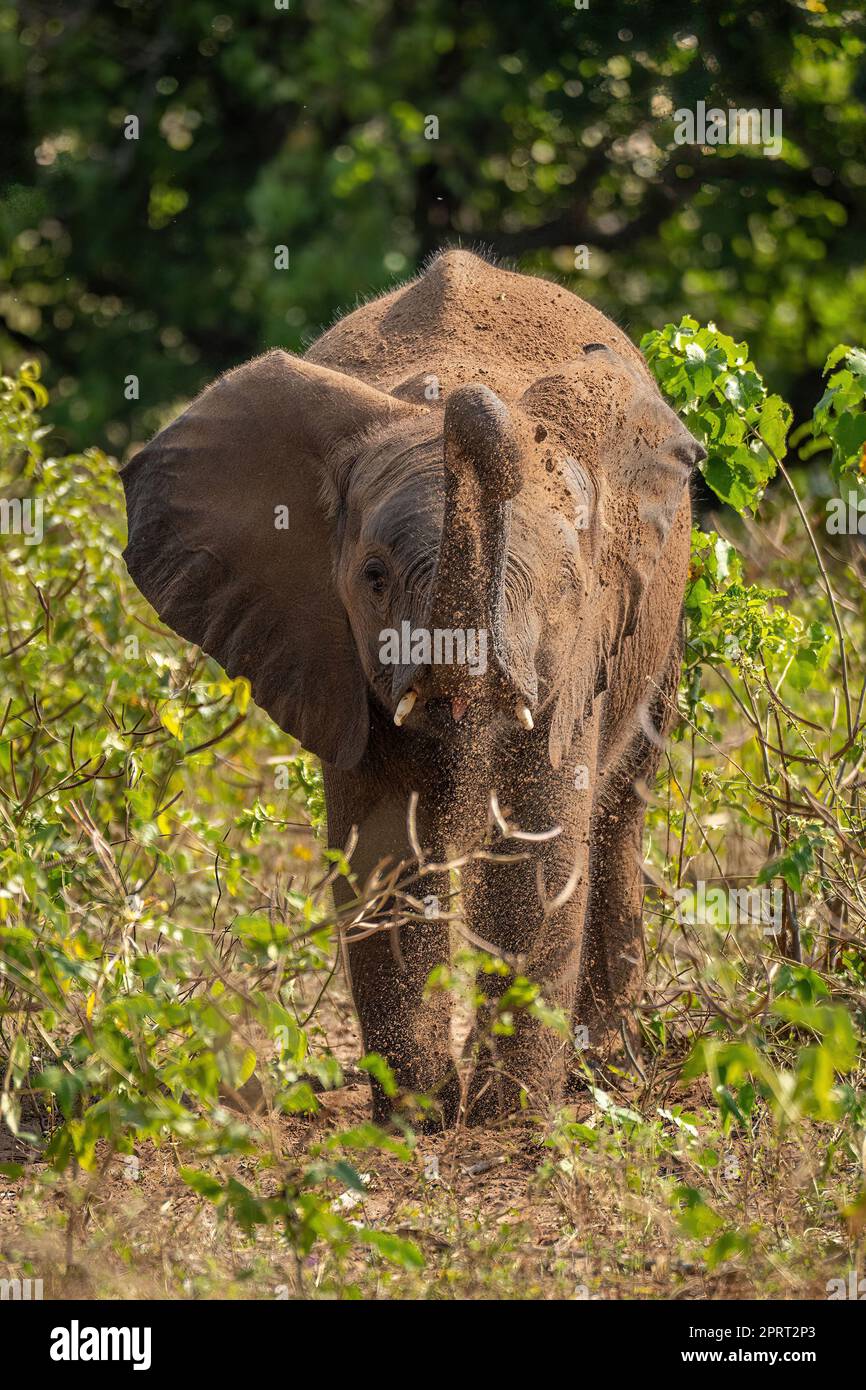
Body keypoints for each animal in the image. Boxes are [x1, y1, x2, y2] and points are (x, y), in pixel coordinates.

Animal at [122, 249, 704, 1126]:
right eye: (373, 576)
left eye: (566, 583)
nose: (469, 405)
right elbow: (385, 847)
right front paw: (421, 1115)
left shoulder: (581, 649)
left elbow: (538, 842)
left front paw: (508, 1118)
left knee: (623, 804)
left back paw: (604, 1069)